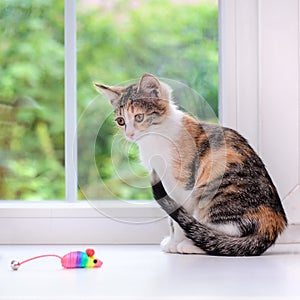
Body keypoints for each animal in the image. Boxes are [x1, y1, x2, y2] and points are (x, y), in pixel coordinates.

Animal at [95, 74, 288, 256]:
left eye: (139, 117)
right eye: (121, 121)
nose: (129, 134)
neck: (157, 135)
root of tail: (274, 223)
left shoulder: (184, 182)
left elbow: (179, 214)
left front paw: (176, 243)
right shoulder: (163, 180)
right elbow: (171, 213)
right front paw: (171, 241)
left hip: (216, 190)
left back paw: (193, 245)